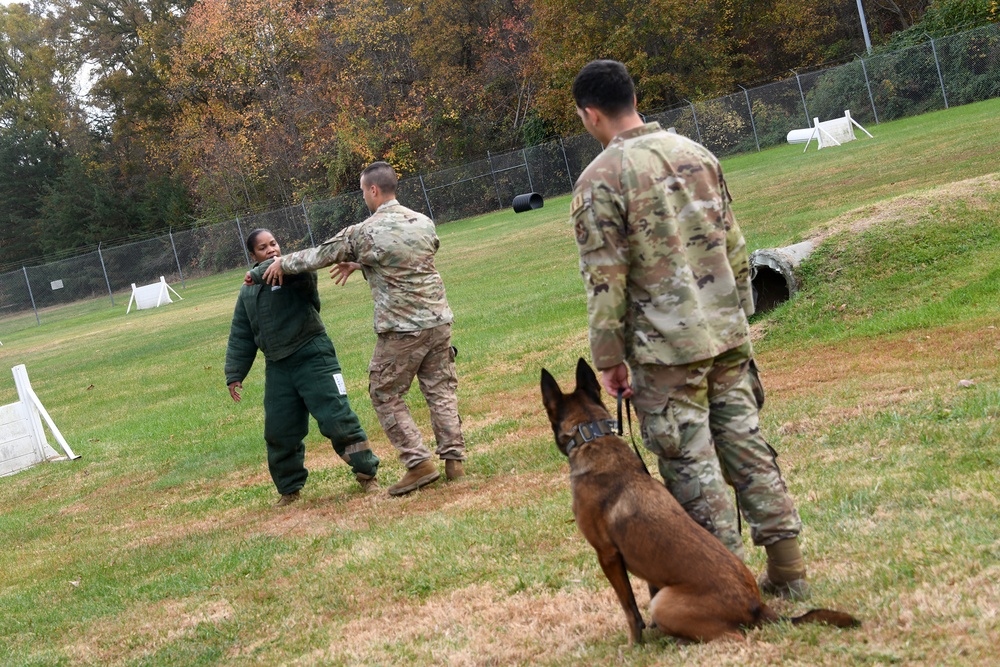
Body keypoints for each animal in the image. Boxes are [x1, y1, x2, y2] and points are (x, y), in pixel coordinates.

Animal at [540, 360, 860, 648]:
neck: (591, 436)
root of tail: (757, 605)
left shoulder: (607, 555)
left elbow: (629, 607)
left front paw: (634, 644)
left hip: (665, 602)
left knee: (735, 637)